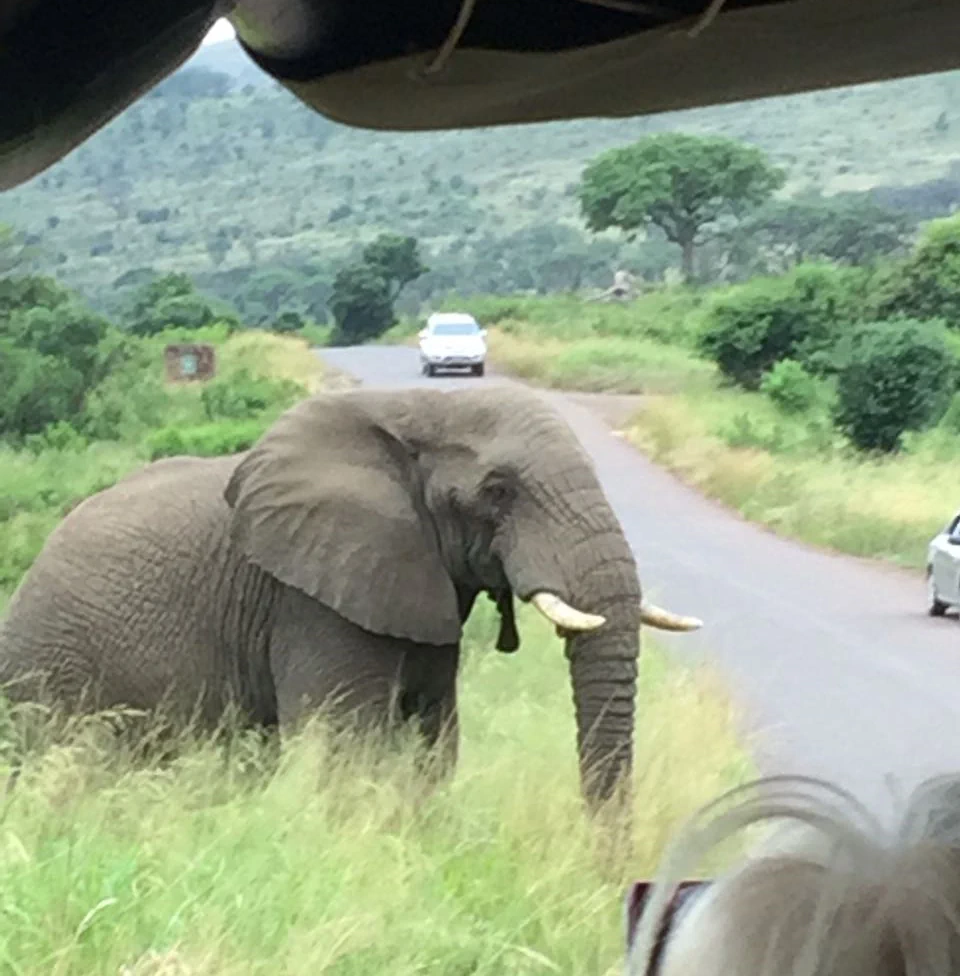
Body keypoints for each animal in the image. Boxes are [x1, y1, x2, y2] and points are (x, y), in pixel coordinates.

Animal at [0, 385, 701, 808]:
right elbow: (346, 748)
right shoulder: (309, 599)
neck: (419, 407)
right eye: (498, 491)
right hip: (52, 671)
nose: (610, 875)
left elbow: (432, 741)